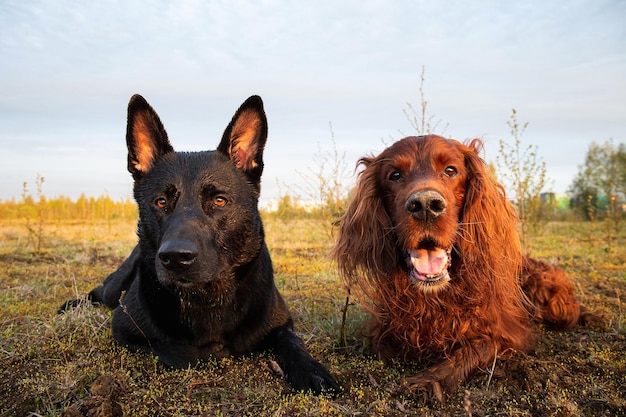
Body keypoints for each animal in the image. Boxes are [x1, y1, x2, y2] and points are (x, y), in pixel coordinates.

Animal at [59, 94, 336, 394]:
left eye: (219, 200)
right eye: (161, 201)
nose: (175, 257)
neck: (206, 297)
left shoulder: (282, 323)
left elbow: (293, 342)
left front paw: (312, 371)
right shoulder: (125, 328)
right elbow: (184, 352)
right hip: (115, 289)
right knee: (97, 292)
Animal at [334, 135, 588, 402]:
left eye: (450, 170)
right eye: (395, 175)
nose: (426, 205)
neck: (434, 298)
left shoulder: (509, 332)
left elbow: (476, 347)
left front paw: (430, 380)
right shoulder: (383, 329)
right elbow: (386, 346)